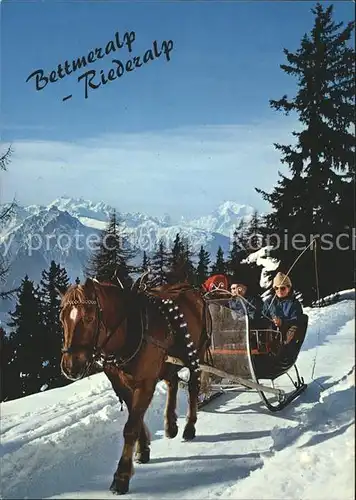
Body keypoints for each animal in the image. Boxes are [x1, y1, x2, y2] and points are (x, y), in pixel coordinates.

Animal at [58, 276, 209, 494]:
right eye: (61, 320)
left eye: (89, 318)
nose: (70, 366)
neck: (127, 334)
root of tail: (194, 290)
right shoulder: (121, 384)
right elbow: (135, 419)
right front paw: (143, 449)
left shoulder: (146, 383)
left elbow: (131, 427)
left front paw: (121, 476)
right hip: (168, 362)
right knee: (172, 382)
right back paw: (171, 425)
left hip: (197, 352)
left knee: (193, 387)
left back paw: (189, 426)